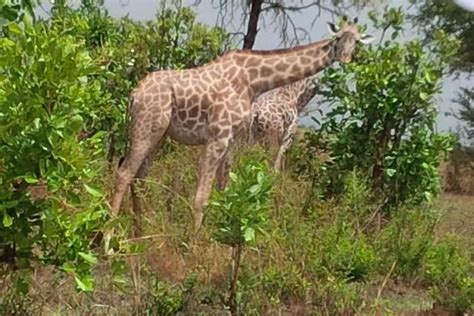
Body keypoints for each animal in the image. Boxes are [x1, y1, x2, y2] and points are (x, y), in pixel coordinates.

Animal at [107, 17, 374, 235]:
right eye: (338, 38)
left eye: (357, 41)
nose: (345, 58)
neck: (255, 81)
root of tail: (134, 95)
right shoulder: (218, 136)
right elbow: (202, 196)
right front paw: (192, 243)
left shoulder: (233, 139)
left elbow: (225, 189)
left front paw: (221, 235)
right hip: (147, 127)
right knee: (124, 173)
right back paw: (109, 240)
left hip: (159, 133)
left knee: (140, 177)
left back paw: (140, 233)